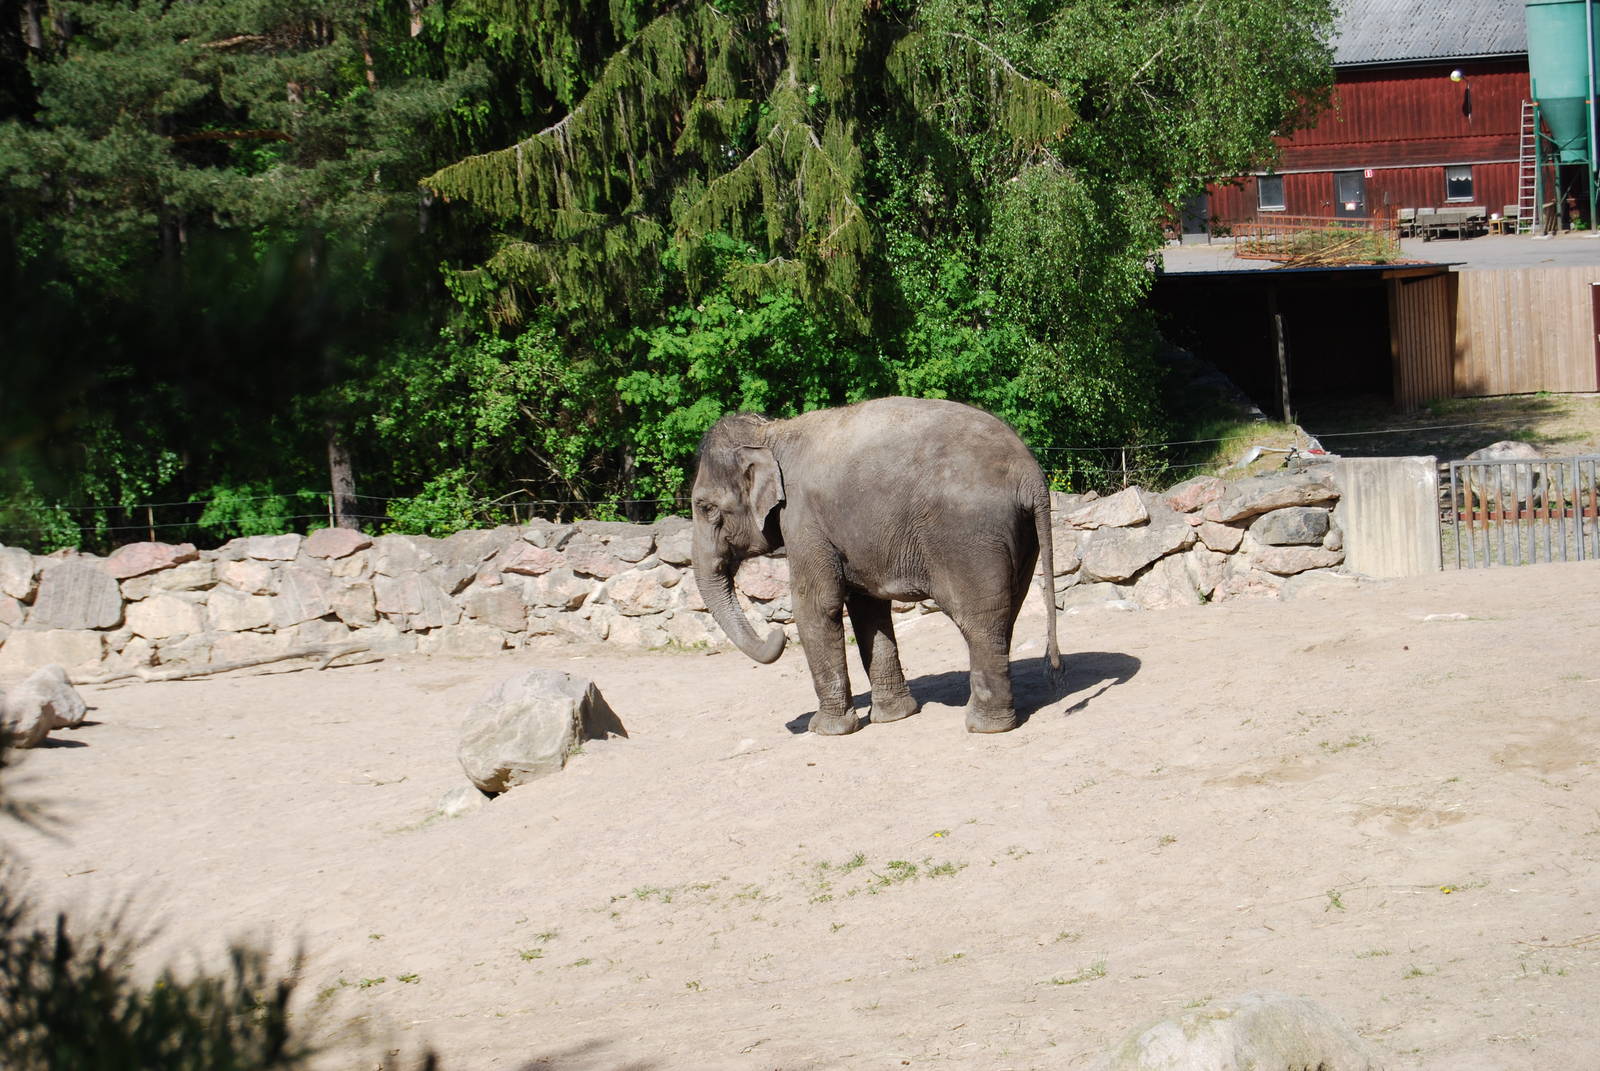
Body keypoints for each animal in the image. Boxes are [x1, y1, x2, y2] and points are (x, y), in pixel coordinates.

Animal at [691, 396, 1061, 735]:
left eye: (706, 507)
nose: (776, 633)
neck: (770, 433)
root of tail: (1030, 474)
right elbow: (867, 607)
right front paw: (895, 717)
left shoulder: (802, 519)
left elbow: (816, 605)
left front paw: (826, 730)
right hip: (1020, 536)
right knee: (1006, 611)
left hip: (969, 537)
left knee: (979, 619)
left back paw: (985, 726)